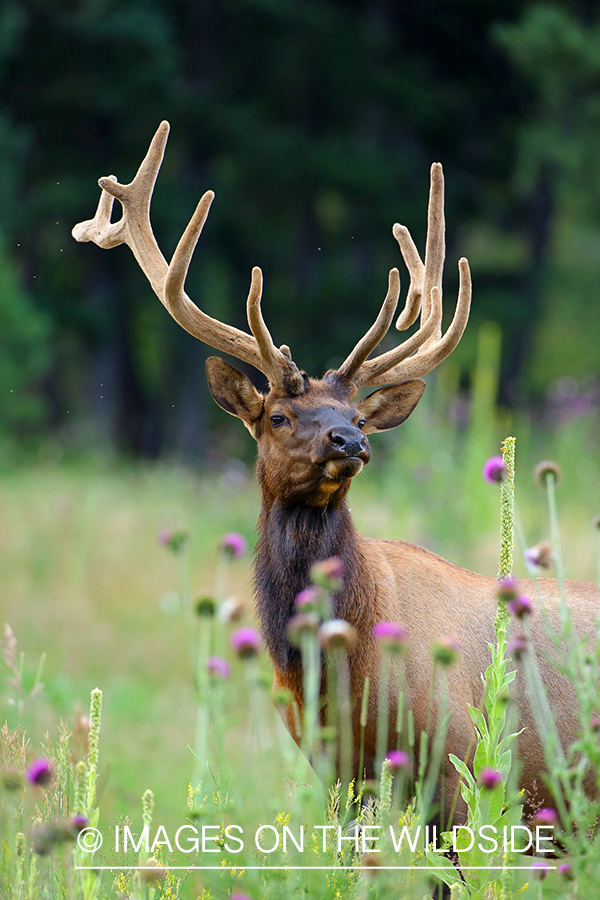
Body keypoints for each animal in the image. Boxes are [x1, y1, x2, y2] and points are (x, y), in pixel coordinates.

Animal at [72, 121, 596, 824]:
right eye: (278, 416)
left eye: (357, 414)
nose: (351, 440)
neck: (345, 674)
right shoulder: (335, 772)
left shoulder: (461, 762)